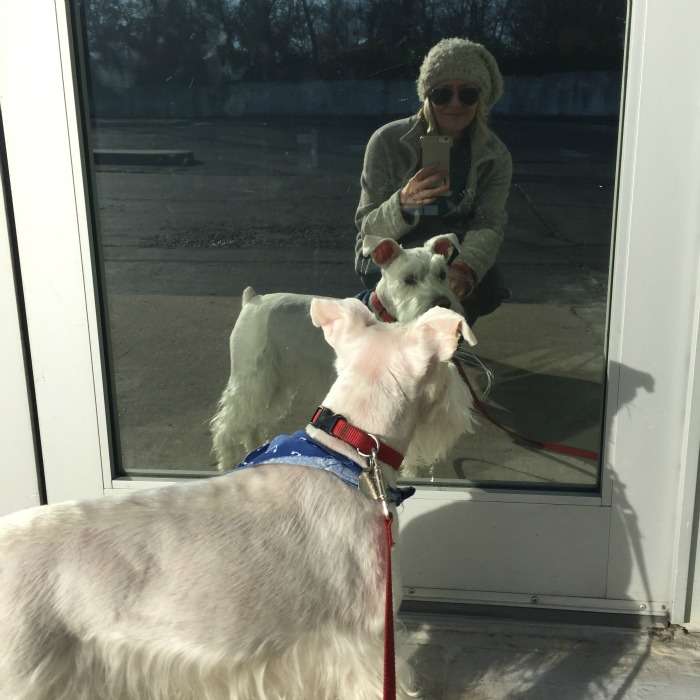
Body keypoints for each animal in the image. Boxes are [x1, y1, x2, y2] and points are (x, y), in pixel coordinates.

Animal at [211, 233, 464, 473]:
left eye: (442, 273)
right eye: (409, 279)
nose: (443, 303)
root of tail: (252, 300)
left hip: (272, 385)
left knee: (250, 423)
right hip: (252, 379)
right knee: (227, 426)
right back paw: (228, 463)